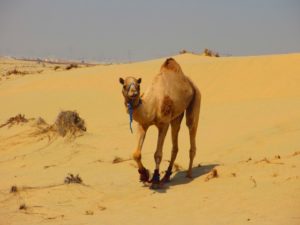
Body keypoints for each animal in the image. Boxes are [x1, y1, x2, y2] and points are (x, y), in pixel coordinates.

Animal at [119, 57, 202, 188]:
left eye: (138, 85)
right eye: (124, 85)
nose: (134, 93)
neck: (151, 105)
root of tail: (191, 83)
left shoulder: (163, 124)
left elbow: (158, 154)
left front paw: (155, 179)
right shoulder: (142, 124)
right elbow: (136, 154)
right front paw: (144, 175)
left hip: (196, 98)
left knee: (191, 126)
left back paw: (188, 174)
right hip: (176, 116)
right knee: (175, 144)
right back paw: (167, 176)